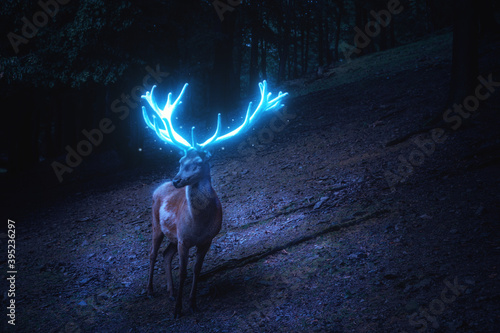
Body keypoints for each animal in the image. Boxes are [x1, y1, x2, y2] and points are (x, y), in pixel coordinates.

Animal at [143, 80, 288, 316]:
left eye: (199, 162)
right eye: (180, 160)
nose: (177, 180)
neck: (198, 224)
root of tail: (158, 188)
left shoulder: (207, 240)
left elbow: (197, 270)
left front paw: (192, 303)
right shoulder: (183, 239)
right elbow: (183, 272)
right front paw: (178, 310)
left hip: (172, 236)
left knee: (166, 255)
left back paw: (171, 292)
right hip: (156, 223)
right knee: (152, 254)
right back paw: (150, 291)